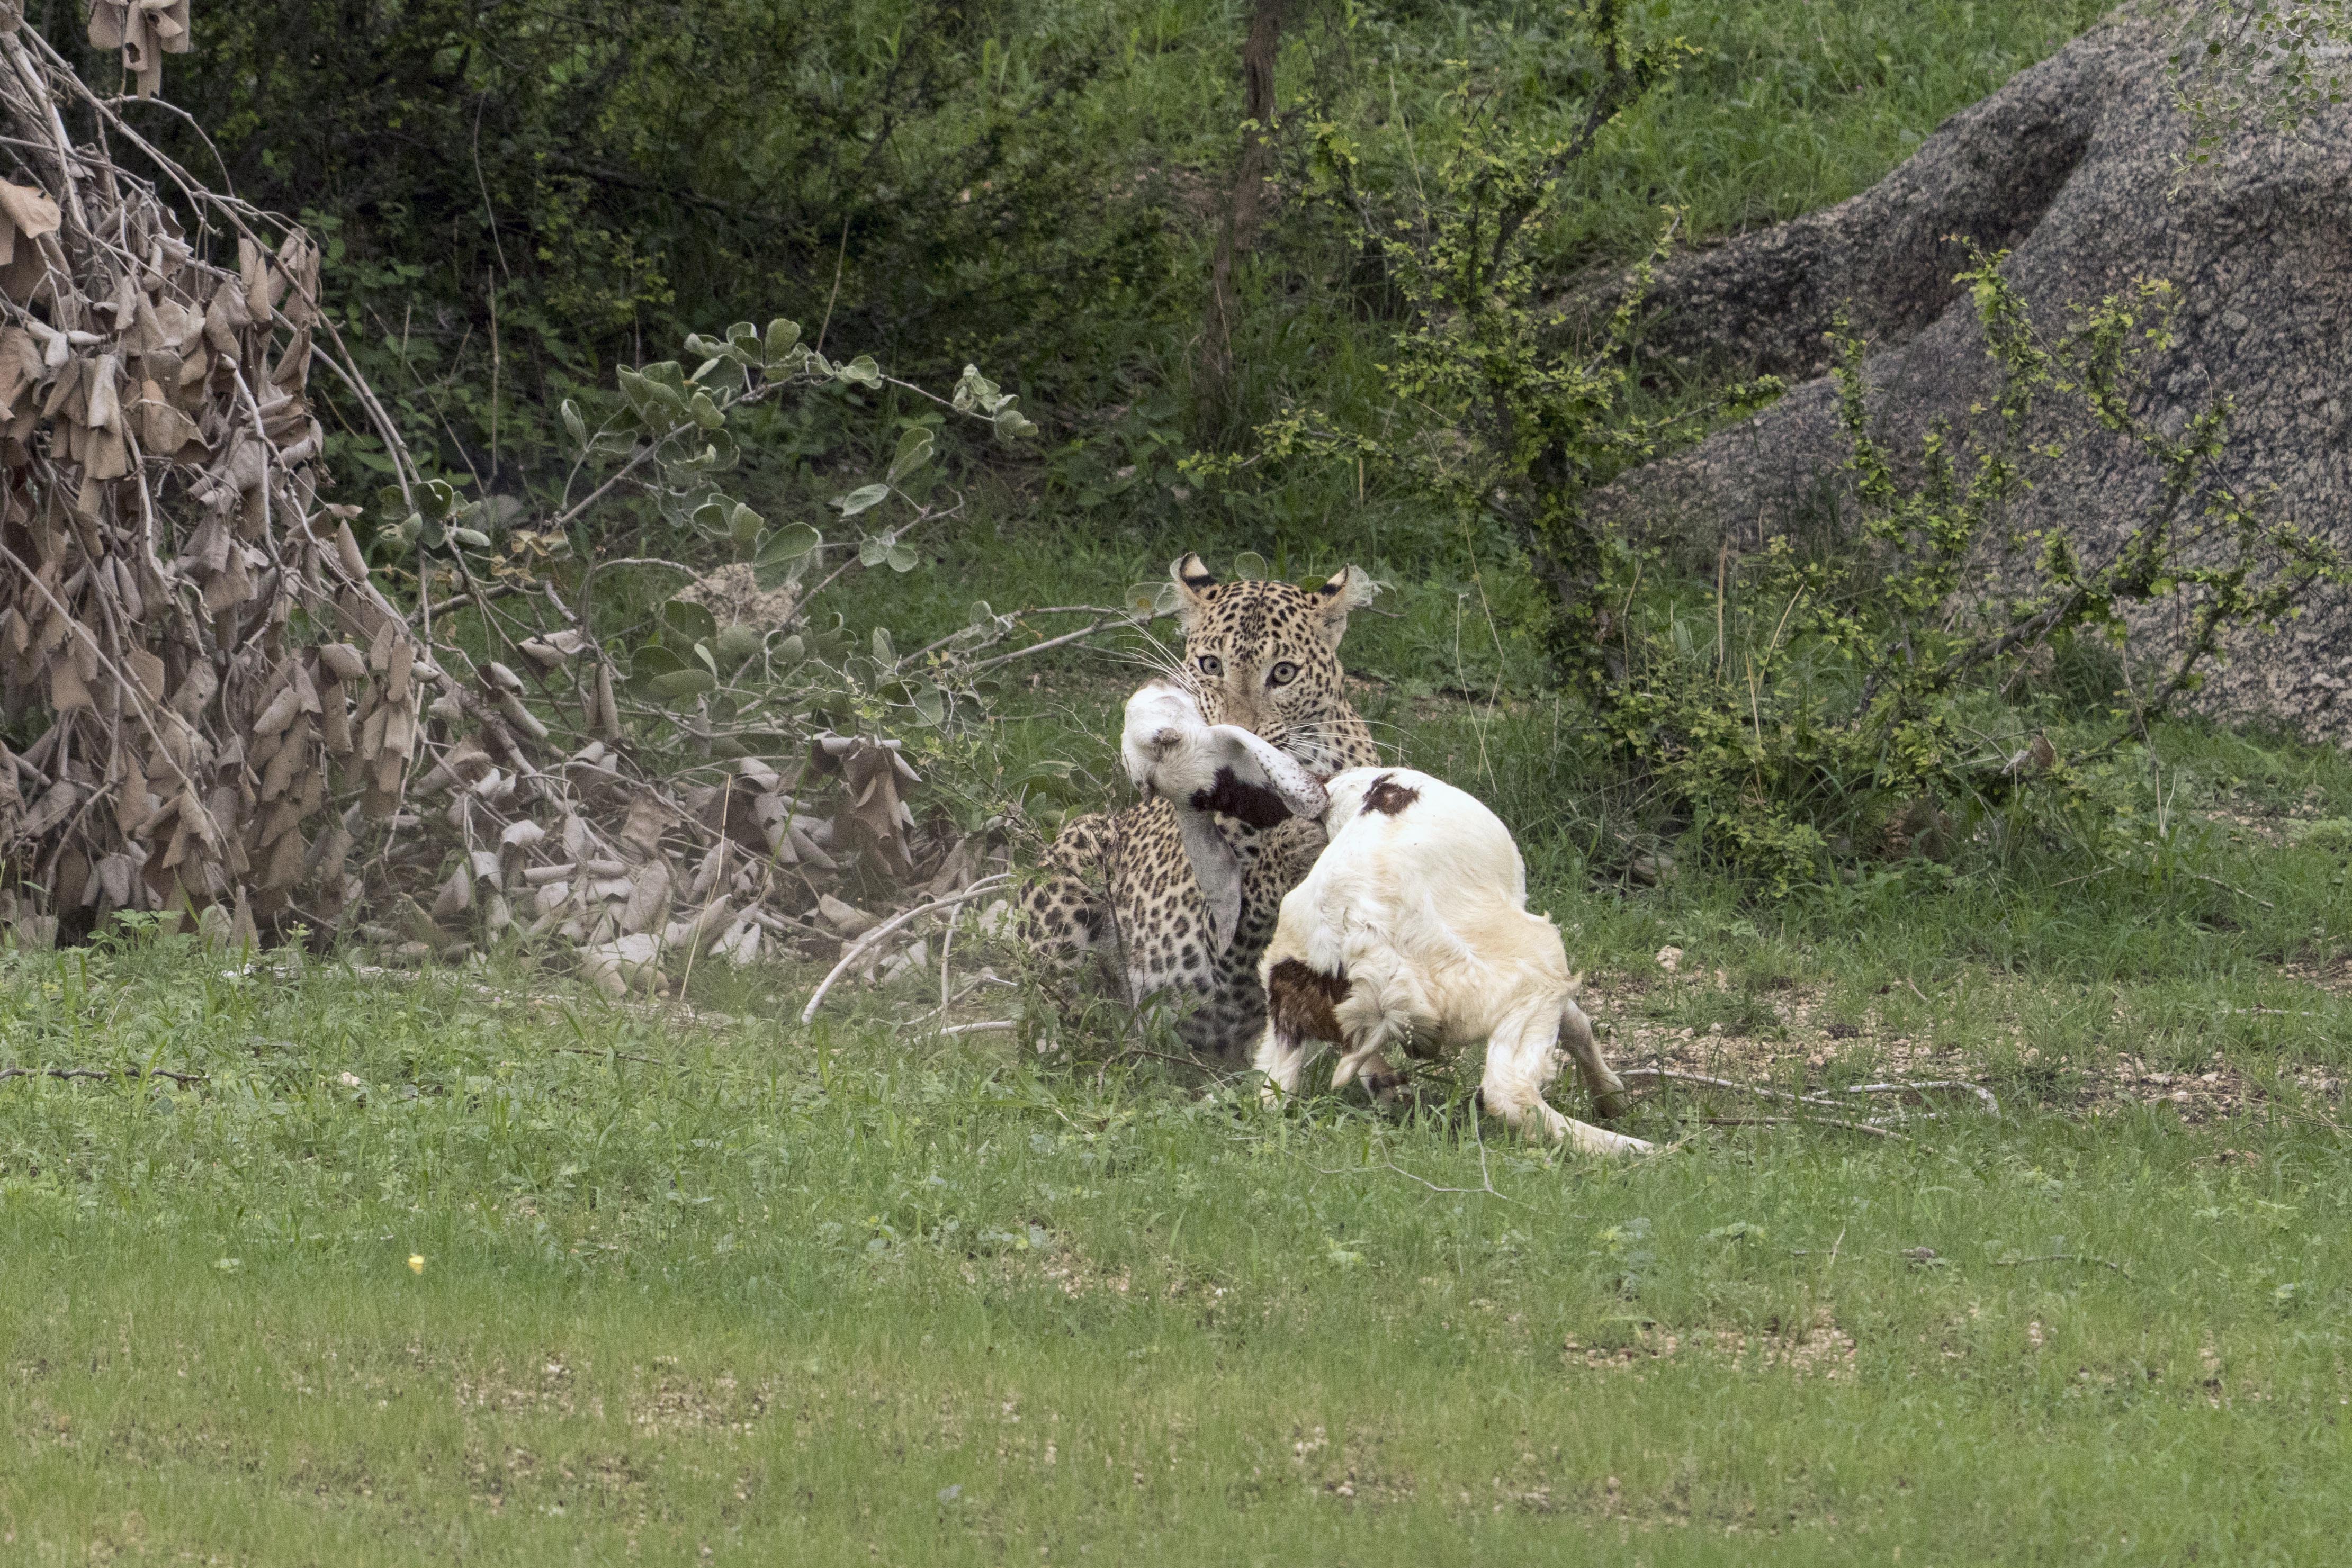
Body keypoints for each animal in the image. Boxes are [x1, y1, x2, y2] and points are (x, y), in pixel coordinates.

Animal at [1025, 552, 1374, 1053]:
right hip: (1079, 845)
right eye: (1211, 665)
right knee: (1048, 1001)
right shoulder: (1215, 958)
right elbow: (1249, 911)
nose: (1235, 736)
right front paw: (1293, 847)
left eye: (1283, 673)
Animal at [1251, 766, 1656, 1161]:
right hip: (1529, 968)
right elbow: (1577, 1024)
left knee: (1272, 1093)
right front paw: (1615, 1102)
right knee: (1507, 1091)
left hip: (1286, 1010)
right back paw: (1641, 1151)